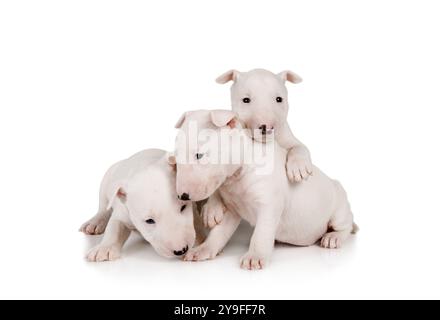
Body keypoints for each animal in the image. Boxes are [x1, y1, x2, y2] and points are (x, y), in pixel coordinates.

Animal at [174, 110, 356, 270]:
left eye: (199, 155)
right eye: (176, 157)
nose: (183, 195)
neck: (240, 172)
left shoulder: (270, 204)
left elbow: (261, 232)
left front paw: (254, 257)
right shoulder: (232, 208)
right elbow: (219, 232)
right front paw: (202, 250)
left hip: (339, 209)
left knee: (345, 225)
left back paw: (333, 237)